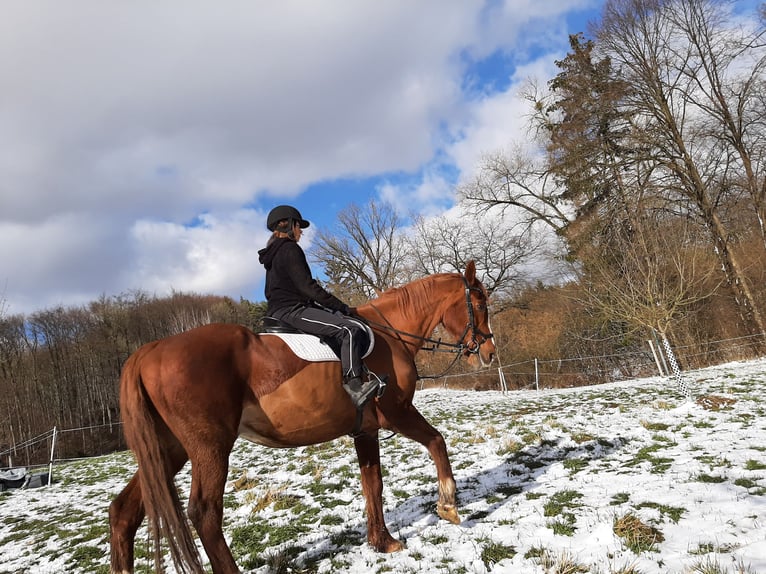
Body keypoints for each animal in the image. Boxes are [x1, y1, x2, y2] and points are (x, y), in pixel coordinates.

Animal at [109, 261, 495, 574]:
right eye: (479, 304)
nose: (489, 352)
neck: (390, 336)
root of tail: (150, 351)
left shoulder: (365, 430)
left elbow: (373, 484)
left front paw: (383, 542)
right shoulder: (398, 414)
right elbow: (436, 441)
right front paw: (448, 506)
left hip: (168, 451)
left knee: (123, 511)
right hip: (209, 448)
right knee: (205, 513)